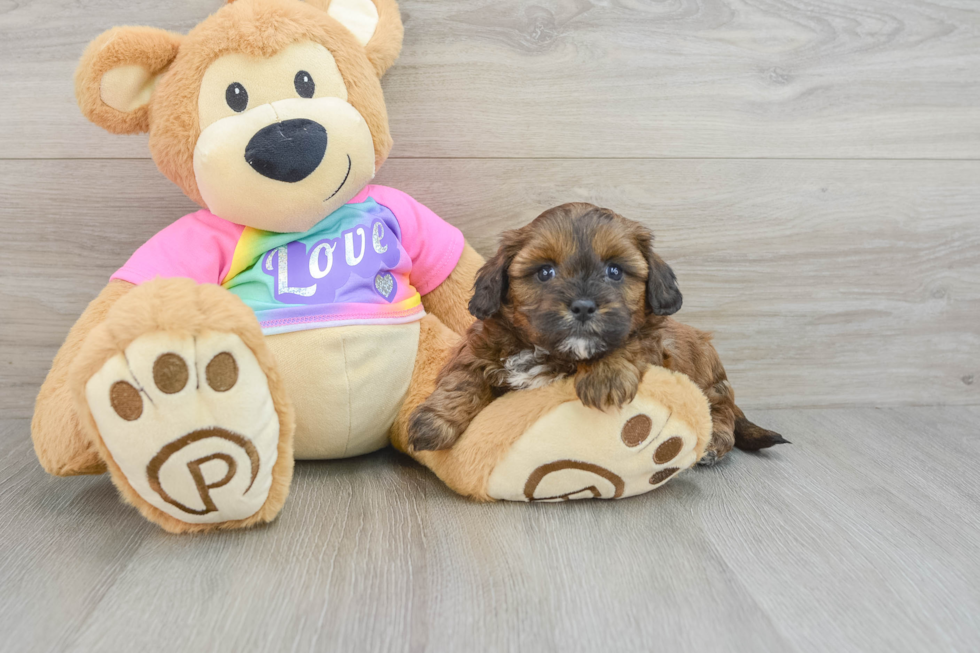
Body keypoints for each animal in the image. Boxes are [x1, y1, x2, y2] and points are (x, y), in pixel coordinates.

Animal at [408, 201, 788, 460]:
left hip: (711, 380)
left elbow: (630, 342)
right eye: (544, 272)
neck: (548, 350)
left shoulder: (652, 341)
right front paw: (433, 423)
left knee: (720, 414)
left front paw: (604, 376)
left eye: (615, 271)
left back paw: (713, 444)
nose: (583, 306)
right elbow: (462, 380)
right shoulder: (480, 348)